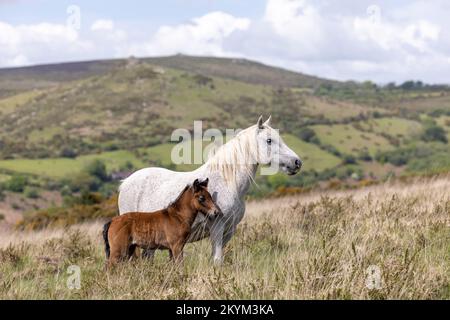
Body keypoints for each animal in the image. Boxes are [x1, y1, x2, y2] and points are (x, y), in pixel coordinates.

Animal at [118, 116, 302, 264]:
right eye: (269, 140)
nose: (297, 162)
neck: (228, 182)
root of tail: (125, 182)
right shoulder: (217, 228)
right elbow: (217, 260)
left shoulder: (228, 230)